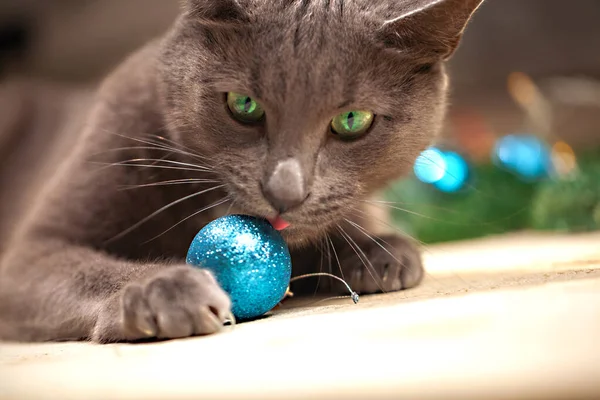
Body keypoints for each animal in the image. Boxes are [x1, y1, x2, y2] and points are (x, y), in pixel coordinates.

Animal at [0, 0, 482, 344]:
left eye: (352, 120)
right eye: (243, 104)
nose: (285, 192)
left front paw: (380, 252)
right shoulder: (31, 249)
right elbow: (81, 268)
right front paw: (166, 289)